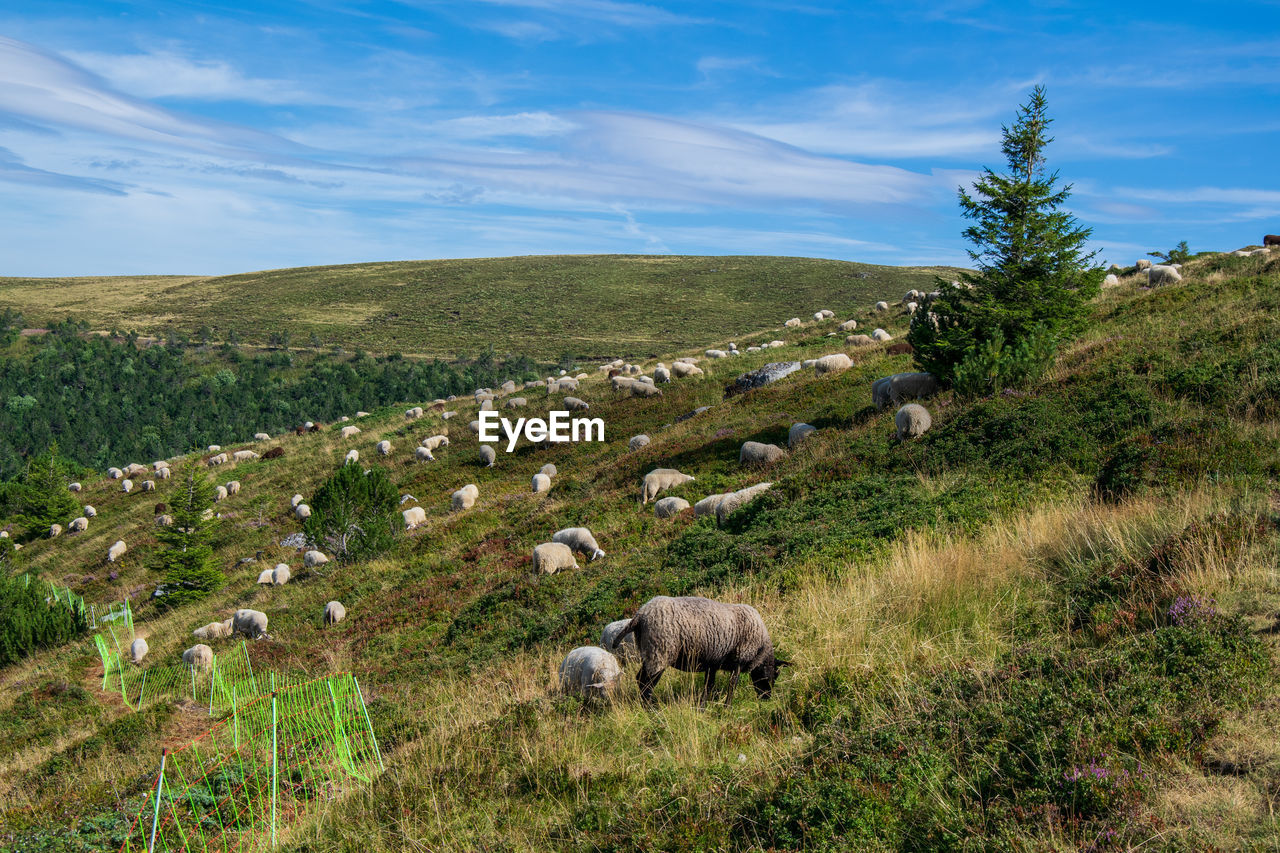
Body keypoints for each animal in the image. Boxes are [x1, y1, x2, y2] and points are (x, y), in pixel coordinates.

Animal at [616, 591, 788, 701]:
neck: (760, 649)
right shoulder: (739, 659)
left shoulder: (713, 663)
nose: (766, 699)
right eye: (775, 675)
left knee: (640, 679)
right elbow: (732, 686)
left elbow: (708, 686)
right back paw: (652, 709)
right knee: (646, 683)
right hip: (660, 651)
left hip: (649, 651)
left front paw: (704, 707)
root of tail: (640, 615)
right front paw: (727, 707)